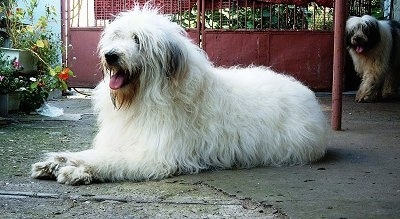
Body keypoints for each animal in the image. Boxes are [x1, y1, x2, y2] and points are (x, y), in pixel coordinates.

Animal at [29, 5, 326, 185]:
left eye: (138, 40)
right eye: (116, 36)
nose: (110, 55)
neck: (142, 97)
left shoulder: (153, 155)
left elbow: (112, 160)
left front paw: (75, 169)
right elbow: (92, 152)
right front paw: (56, 161)